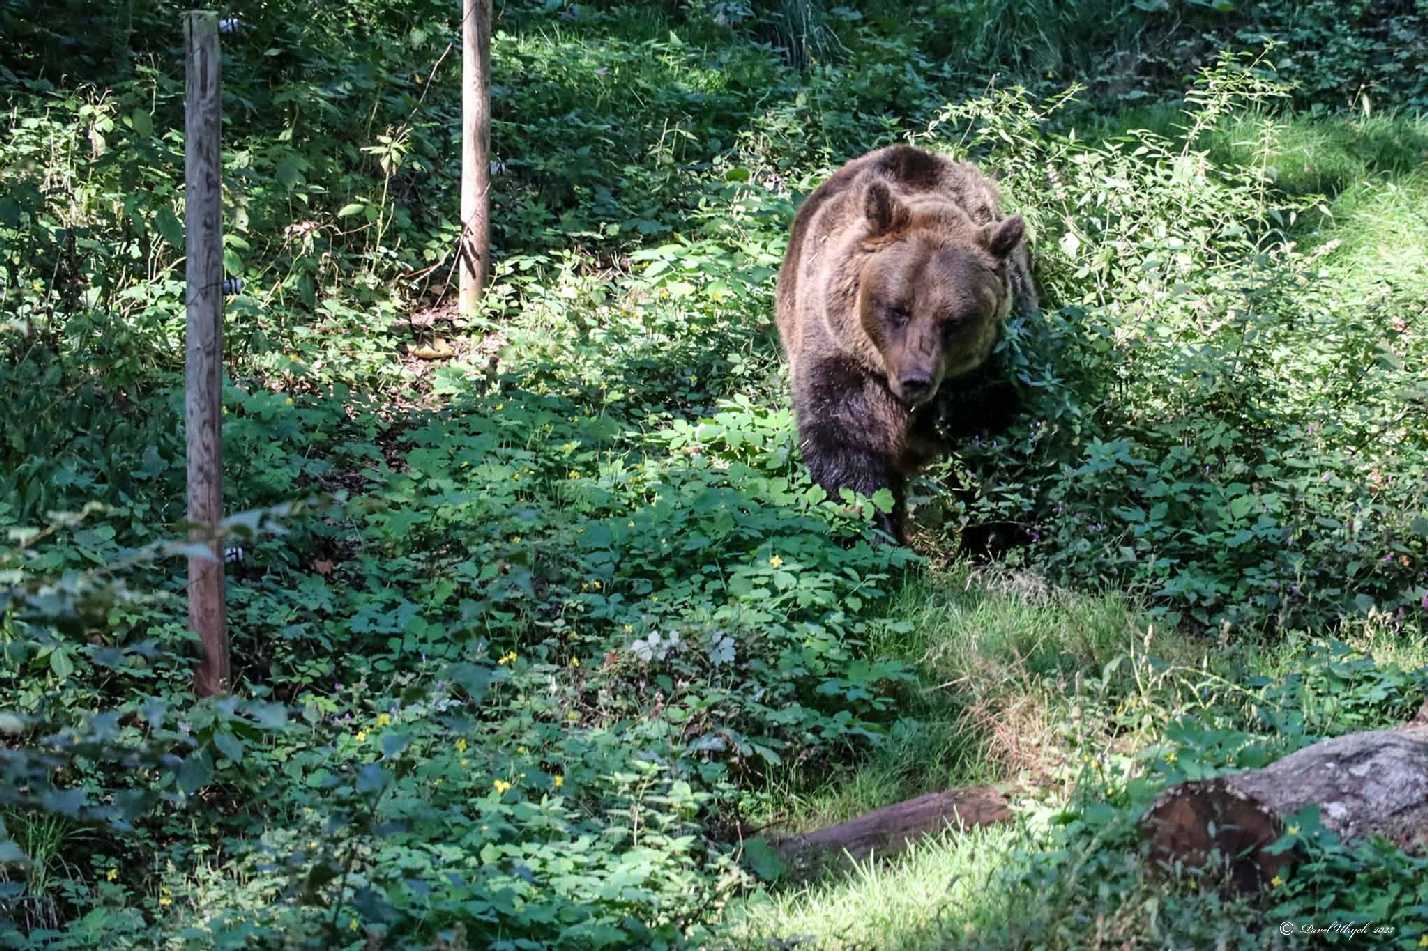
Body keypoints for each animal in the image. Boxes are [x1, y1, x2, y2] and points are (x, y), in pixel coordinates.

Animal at [771, 143, 1039, 536]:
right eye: (898, 309)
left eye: (953, 322)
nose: (916, 379)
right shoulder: (844, 356)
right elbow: (850, 444)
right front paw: (873, 524)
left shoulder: (987, 371)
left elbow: (993, 451)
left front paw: (992, 534)